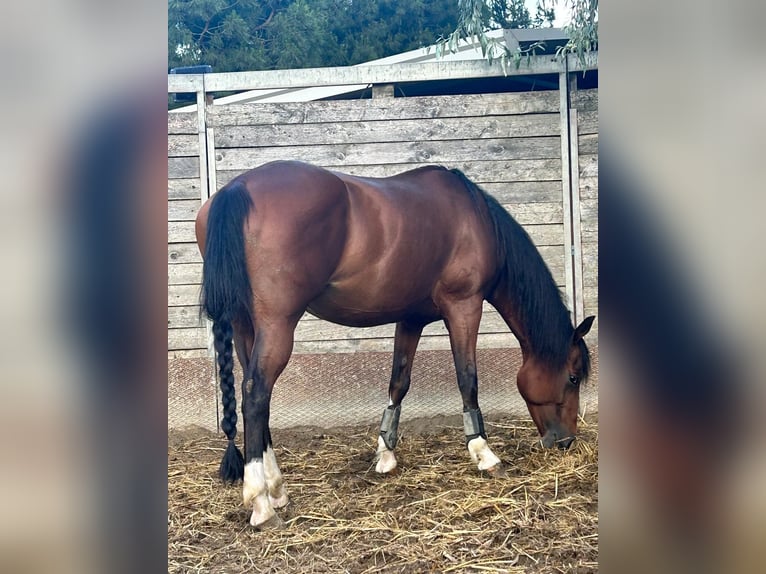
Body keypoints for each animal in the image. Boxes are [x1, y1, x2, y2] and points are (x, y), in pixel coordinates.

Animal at [195, 160, 594, 528]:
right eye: (573, 377)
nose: (566, 441)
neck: (475, 217)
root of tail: (237, 189)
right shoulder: (464, 306)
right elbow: (467, 378)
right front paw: (484, 454)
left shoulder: (410, 318)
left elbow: (399, 383)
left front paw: (386, 454)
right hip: (277, 324)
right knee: (255, 394)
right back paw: (261, 504)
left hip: (246, 326)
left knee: (257, 399)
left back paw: (277, 489)